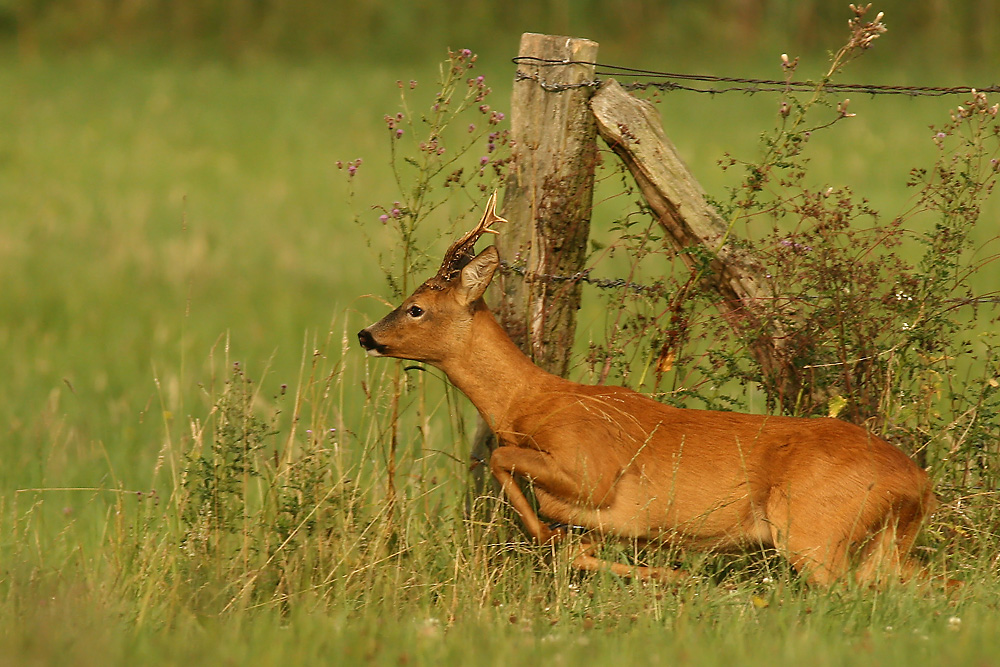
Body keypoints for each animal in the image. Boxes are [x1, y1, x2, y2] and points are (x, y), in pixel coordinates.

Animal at [360, 194, 936, 588]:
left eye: (415, 307)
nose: (367, 334)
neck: (529, 403)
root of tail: (918, 482)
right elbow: (577, 545)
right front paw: (674, 578)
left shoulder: (592, 471)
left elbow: (504, 460)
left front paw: (546, 535)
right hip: (885, 544)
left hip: (815, 530)